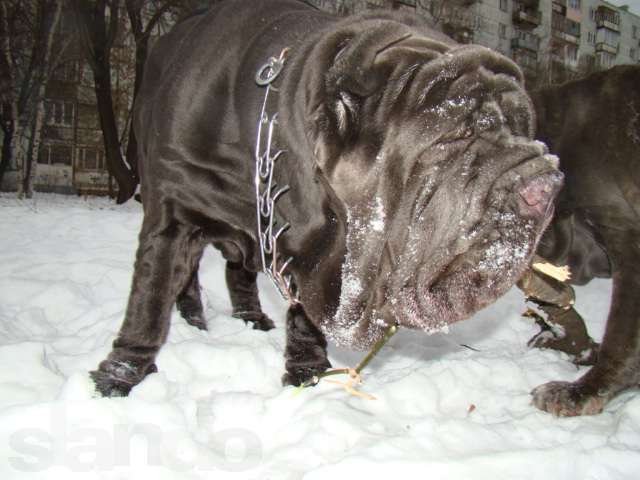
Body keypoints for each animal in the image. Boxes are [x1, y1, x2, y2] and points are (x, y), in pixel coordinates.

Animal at [90, 0, 560, 398]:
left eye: (523, 129)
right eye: (453, 138)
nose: (545, 184)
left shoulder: (318, 246)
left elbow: (305, 316)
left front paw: (306, 374)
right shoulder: (173, 213)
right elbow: (149, 297)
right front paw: (120, 374)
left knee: (239, 273)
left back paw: (252, 319)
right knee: (186, 279)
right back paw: (194, 319)